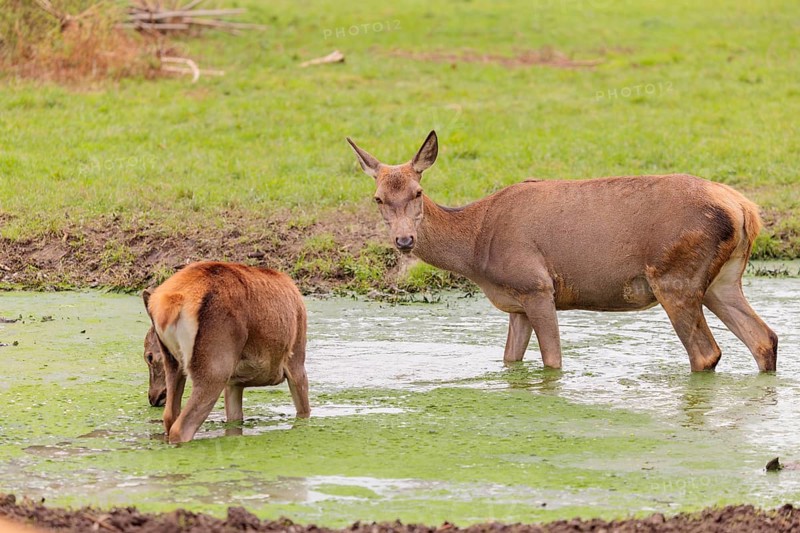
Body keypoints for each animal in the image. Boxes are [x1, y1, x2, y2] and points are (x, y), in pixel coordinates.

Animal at [142, 261, 310, 443]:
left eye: (149, 356)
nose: (153, 397)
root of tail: (170, 305)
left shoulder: (234, 383)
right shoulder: (296, 359)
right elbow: (304, 412)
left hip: (174, 363)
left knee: (169, 417)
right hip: (215, 365)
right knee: (181, 427)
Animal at [347, 131, 778, 373]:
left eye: (418, 192)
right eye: (378, 198)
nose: (405, 241)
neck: (476, 248)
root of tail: (745, 209)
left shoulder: (537, 286)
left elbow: (553, 362)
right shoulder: (516, 301)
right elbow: (510, 361)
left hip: (675, 277)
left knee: (706, 354)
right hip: (722, 281)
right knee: (764, 338)